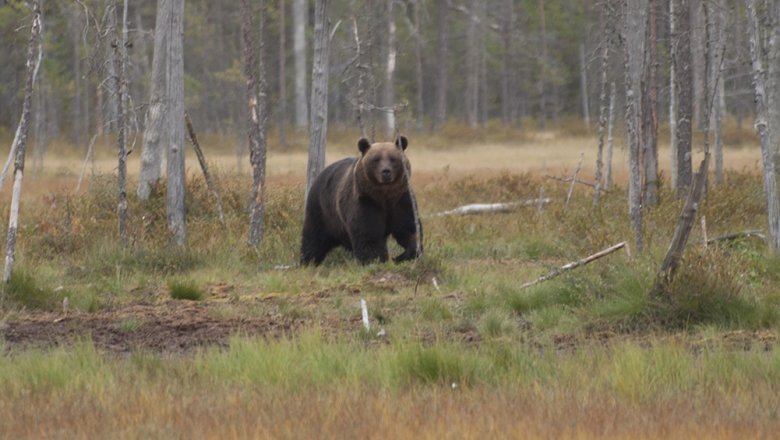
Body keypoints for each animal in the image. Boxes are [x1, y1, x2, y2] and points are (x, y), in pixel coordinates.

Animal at [300, 136, 424, 264]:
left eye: (393, 158)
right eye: (376, 159)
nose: (386, 172)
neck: (384, 196)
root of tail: (320, 174)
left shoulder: (401, 199)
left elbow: (408, 228)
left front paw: (404, 255)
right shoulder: (366, 201)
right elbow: (368, 233)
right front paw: (372, 259)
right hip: (322, 210)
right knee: (314, 238)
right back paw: (308, 261)